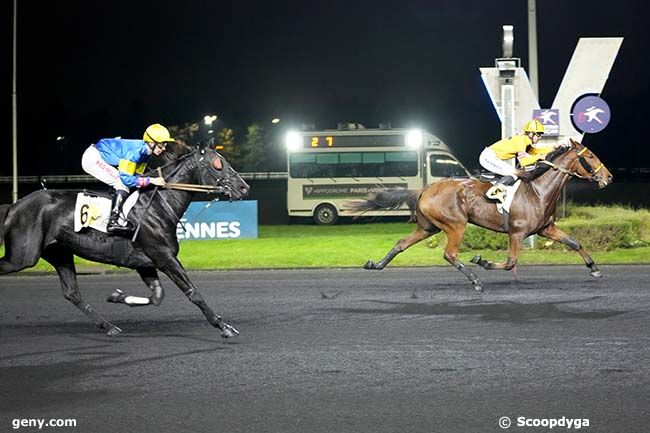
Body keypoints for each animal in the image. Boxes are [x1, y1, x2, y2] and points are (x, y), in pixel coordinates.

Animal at [0, 142, 249, 338]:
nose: (244, 187)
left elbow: (157, 296)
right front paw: (224, 326)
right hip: (22, 257)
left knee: (72, 293)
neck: (158, 204)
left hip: (59, 253)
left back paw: (109, 326)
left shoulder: (145, 263)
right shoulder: (165, 257)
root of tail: (14, 206)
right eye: (218, 164)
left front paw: (117, 297)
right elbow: (193, 292)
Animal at [344, 140, 612, 292]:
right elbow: (510, 262)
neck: (538, 190)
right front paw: (481, 261)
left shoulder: (546, 229)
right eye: (590, 157)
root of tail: (424, 189)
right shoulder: (517, 232)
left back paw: (375, 264)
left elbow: (574, 242)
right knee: (450, 254)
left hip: (428, 227)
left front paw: (594, 268)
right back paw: (475, 279)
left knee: (401, 244)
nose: (608, 177)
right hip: (456, 224)